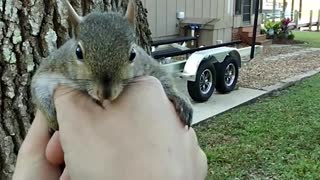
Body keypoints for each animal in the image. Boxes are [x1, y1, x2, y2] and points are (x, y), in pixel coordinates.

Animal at [30, 0, 192, 132]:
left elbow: (162, 76)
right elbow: (39, 83)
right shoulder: (56, 65)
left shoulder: (146, 64)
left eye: (133, 54)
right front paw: (52, 117)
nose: (105, 94)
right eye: (78, 52)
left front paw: (180, 99)